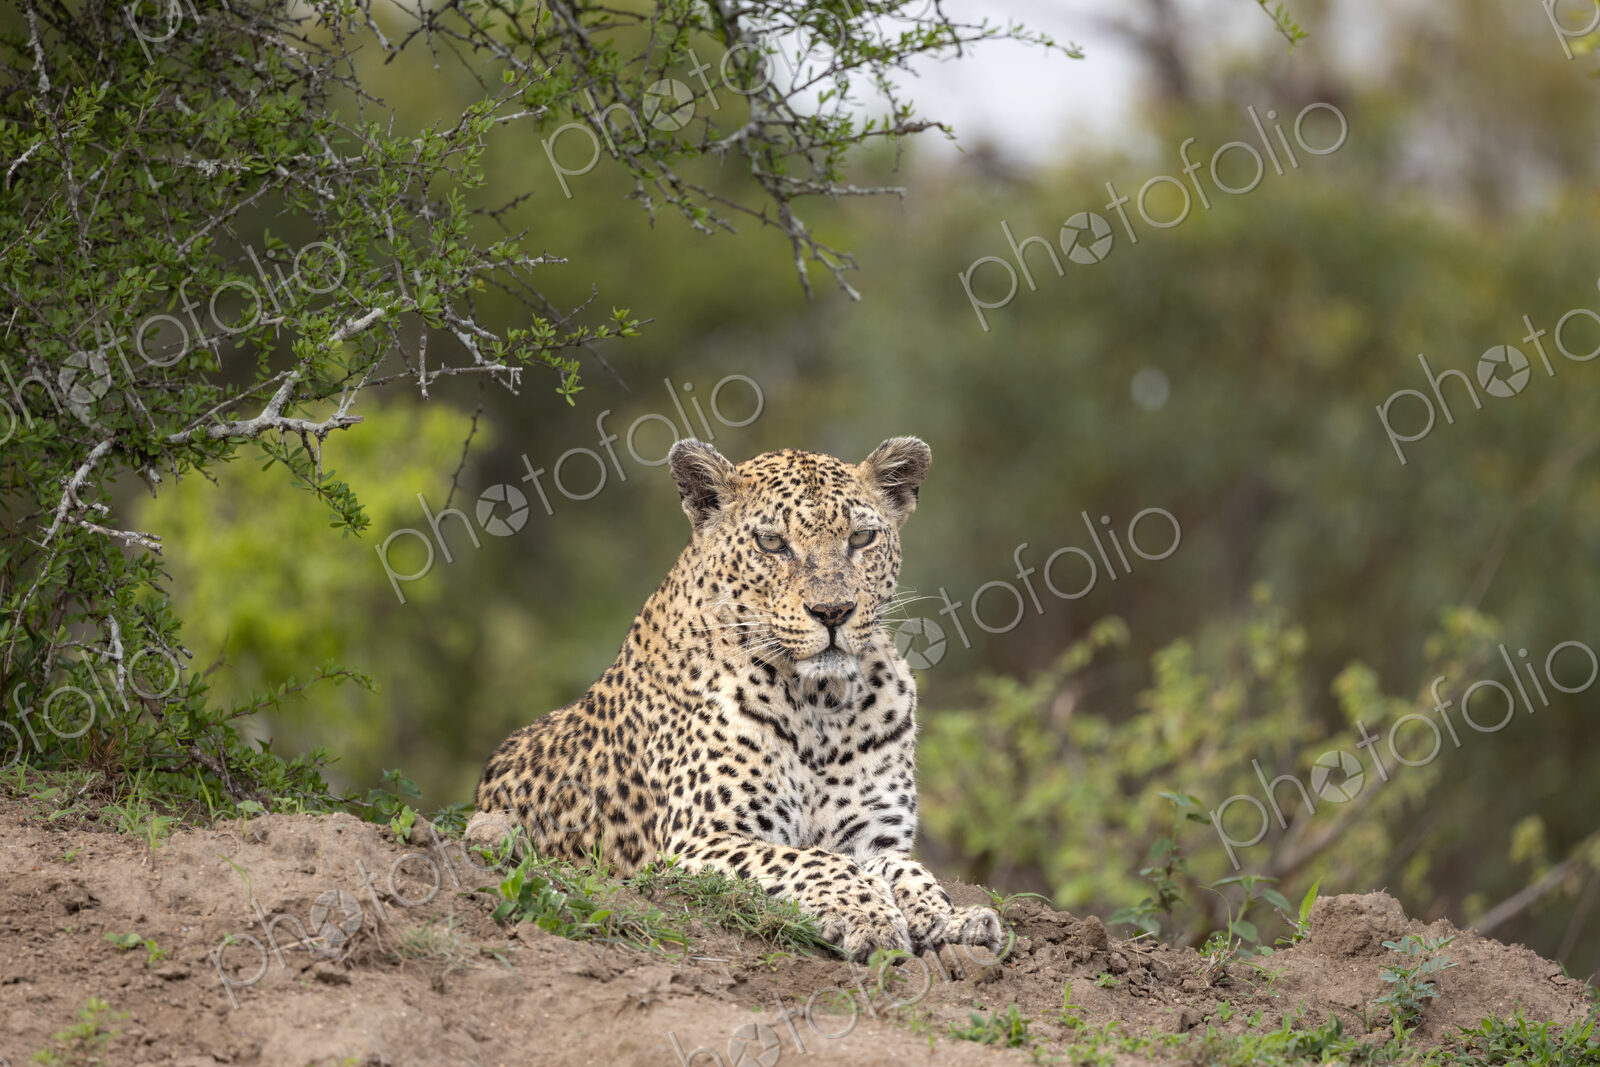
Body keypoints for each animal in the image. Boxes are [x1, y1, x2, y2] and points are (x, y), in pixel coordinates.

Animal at [466, 436, 1004, 962]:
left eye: (861, 539)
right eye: (772, 543)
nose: (833, 611)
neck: (822, 705)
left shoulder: (874, 839)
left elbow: (910, 871)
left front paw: (953, 919)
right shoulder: (702, 839)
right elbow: (813, 860)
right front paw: (870, 917)